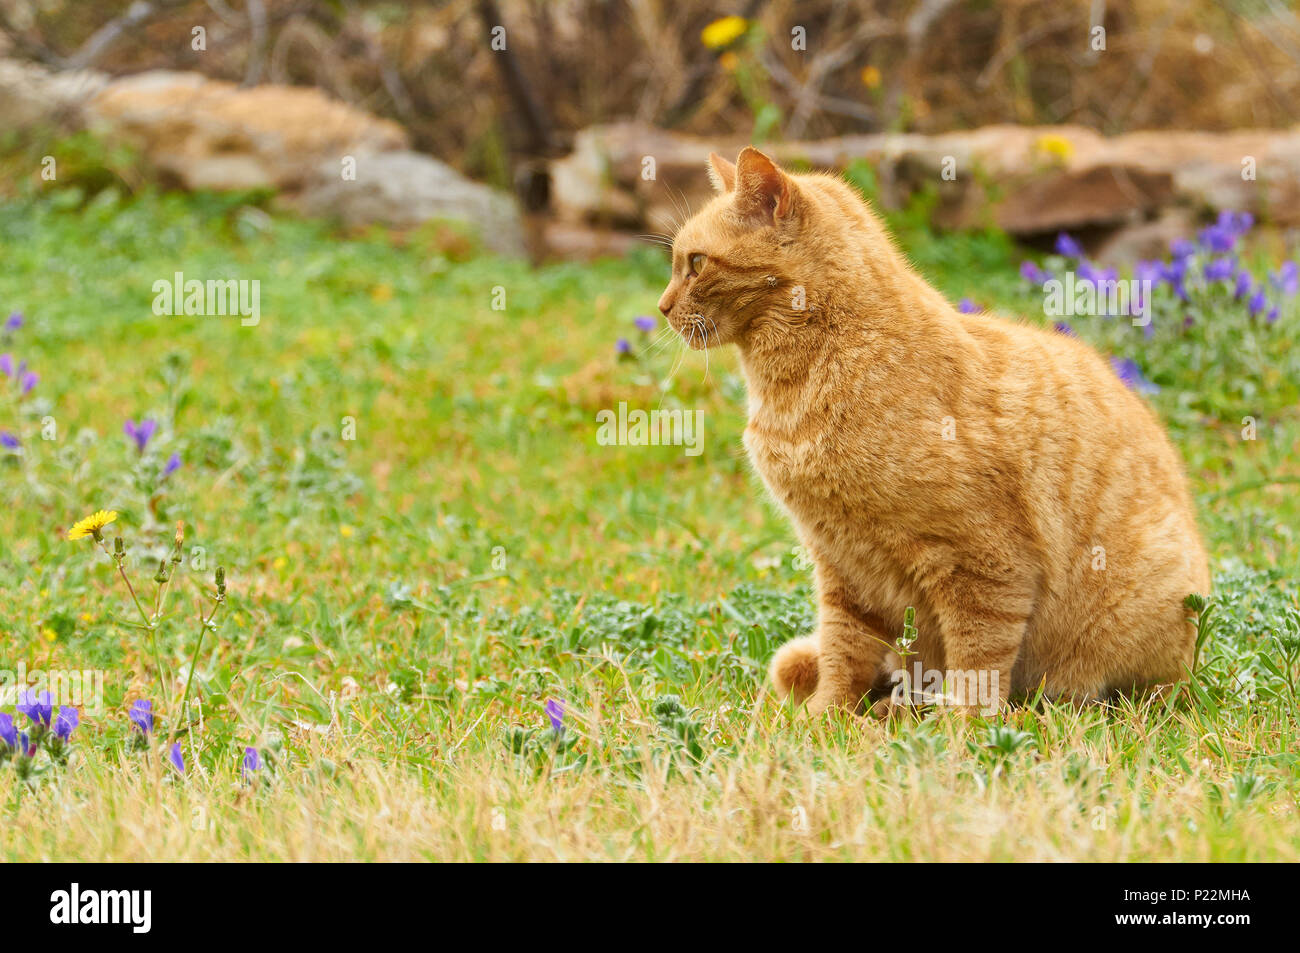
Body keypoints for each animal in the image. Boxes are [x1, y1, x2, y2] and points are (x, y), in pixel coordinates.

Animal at [655, 146, 1211, 712]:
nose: (662, 307)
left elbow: (978, 661)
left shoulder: (983, 564)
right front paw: (826, 715)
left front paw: (961, 724)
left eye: (695, 264)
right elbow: (842, 651)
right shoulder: (843, 567)